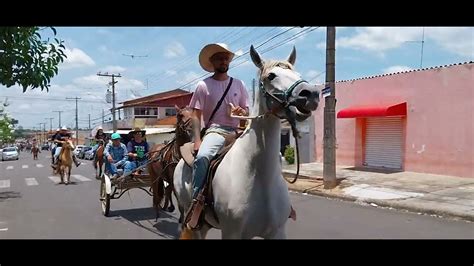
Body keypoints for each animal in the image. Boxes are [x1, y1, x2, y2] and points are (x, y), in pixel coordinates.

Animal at [172, 45, 320, 239]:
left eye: (297, 73)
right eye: (271, 76)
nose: (311, 94)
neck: (257, 176)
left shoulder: (277, 232)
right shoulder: (232, 233)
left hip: (204, 224)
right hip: (192, 220)